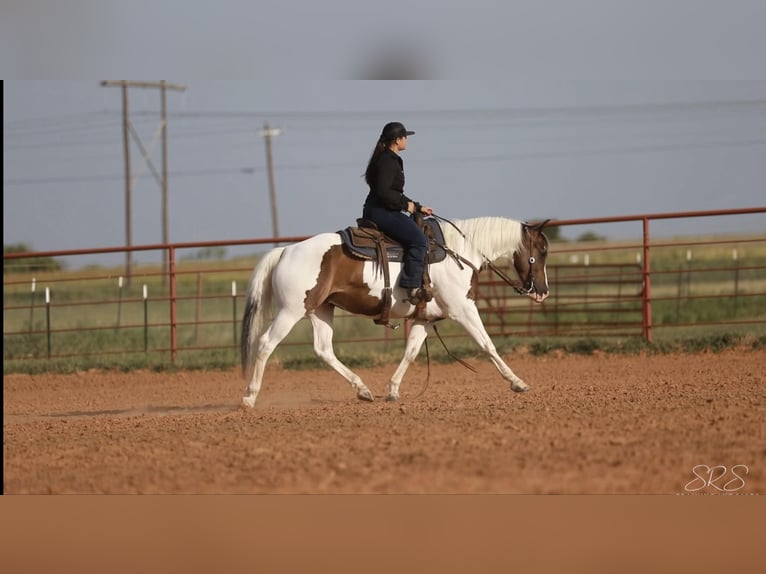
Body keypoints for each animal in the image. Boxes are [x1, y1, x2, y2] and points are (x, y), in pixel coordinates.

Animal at [243, 216, 548, 410]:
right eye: (542, 251)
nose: (543, 291)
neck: (458, 253)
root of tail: (286, 250)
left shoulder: (426, 319)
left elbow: (410, 353)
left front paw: (392, 390)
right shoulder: (463, 309)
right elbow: (487, 344)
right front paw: (517, 382)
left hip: (320, 310)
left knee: (323, 349)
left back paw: (363, 390)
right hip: (291, 311)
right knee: (266, 344)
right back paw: (249, 397)